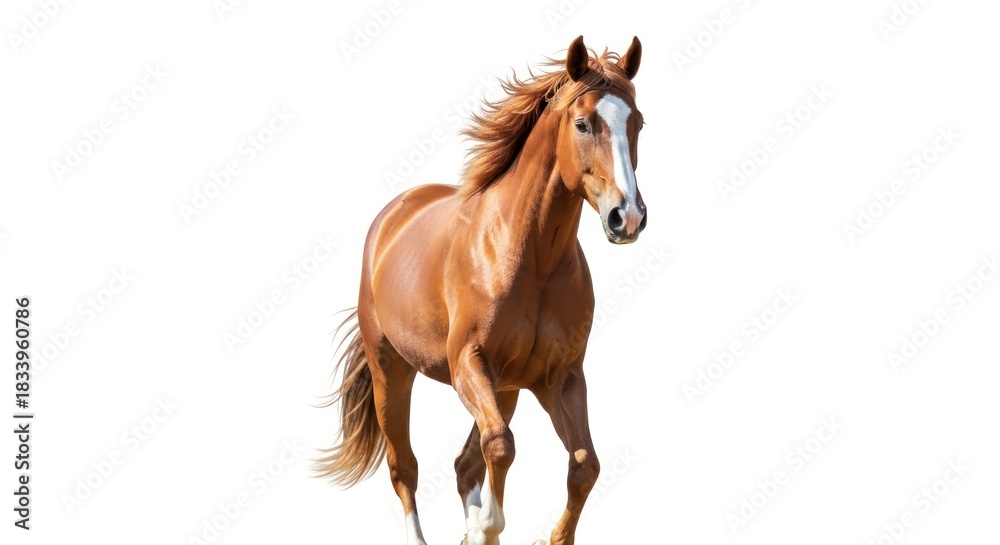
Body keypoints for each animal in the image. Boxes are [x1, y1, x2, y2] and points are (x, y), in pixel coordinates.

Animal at [318, 35, 647, 545]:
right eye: (582, 123)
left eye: (638, 122)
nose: (626, 217)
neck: (532, 259)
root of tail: (394, 213)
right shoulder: (468, 363)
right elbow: (501, 448)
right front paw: (488, 526)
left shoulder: (560, 377)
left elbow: (584, 466)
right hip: (390, 370)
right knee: (404, 468)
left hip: (506, 388)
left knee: (464, 463)